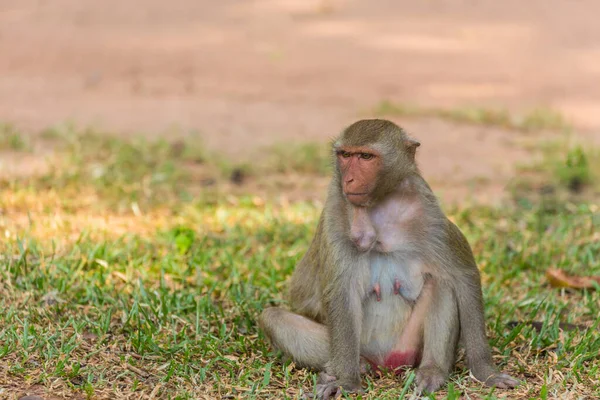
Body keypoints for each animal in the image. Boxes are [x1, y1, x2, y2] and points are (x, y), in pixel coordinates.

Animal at [258, 118, 520, 396]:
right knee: (274, 318)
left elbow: (463, 276)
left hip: (409, 347)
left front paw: (486, 372)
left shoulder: (430, 215)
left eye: (365, 156)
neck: (381, 205)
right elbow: (341, 293)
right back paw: (354, 368)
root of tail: (387, 365)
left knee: (442, 284)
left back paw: (433, 372)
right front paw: (347, 381)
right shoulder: (336, 215)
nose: (349, 180)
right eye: (345, 155)